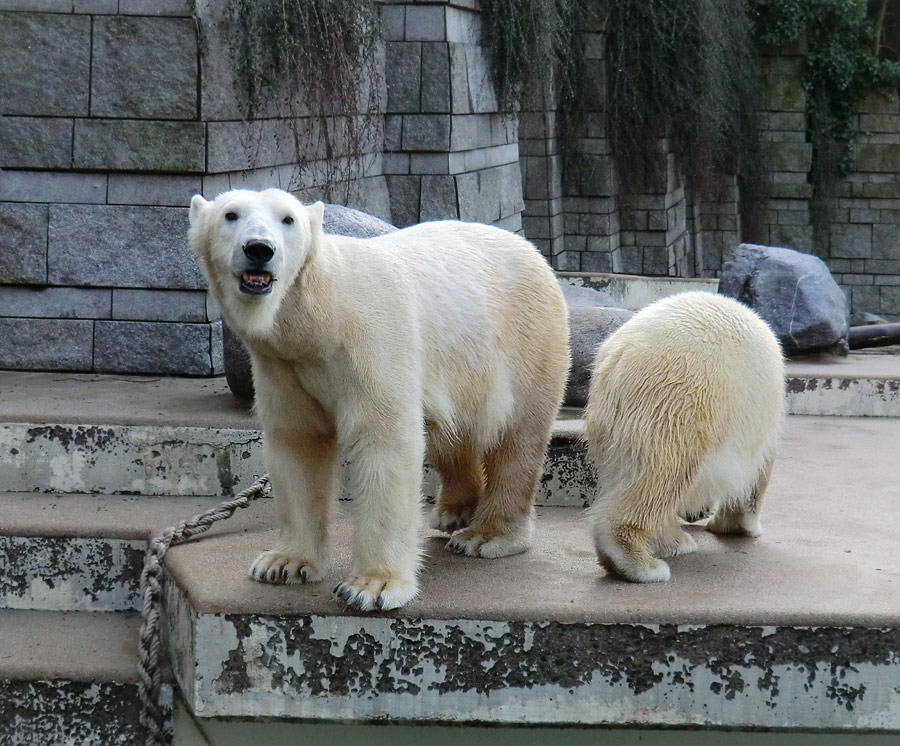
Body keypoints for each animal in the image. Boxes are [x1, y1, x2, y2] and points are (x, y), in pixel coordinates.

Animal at [190, 187, 568, 612]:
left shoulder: (371, 342)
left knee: (515, 436)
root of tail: (531, 250)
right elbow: (298, 443)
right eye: (230, 214)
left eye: (287, 219)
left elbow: (384, 441)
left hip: (523, 341)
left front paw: (371, 586)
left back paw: (486, 534)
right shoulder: (283, 366)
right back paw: (455, 511)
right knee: (450, 433)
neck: (319, 317)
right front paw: (282, 563)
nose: (259, 248)